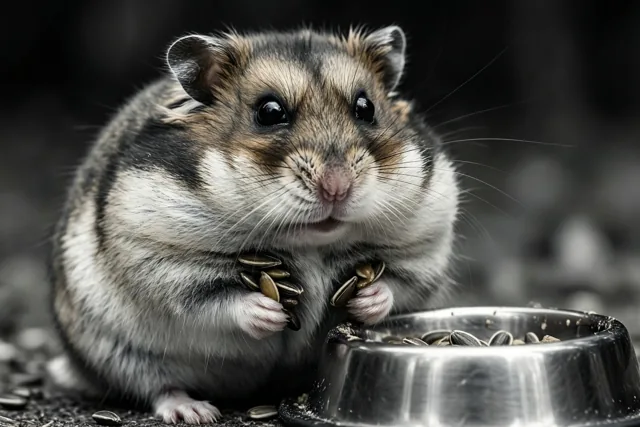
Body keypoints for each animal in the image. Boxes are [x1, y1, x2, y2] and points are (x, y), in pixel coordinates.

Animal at [47, 25, 460, 424]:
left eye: (366, 107)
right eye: (269, 112)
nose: (337, 187)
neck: (310, 243)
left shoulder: (424, 248)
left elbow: (397, 286)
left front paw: (367, 299)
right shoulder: (164, 262)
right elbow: (218, 300)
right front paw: (269, 313)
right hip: (120, 352)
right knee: (157, 388)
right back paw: (197, 413)